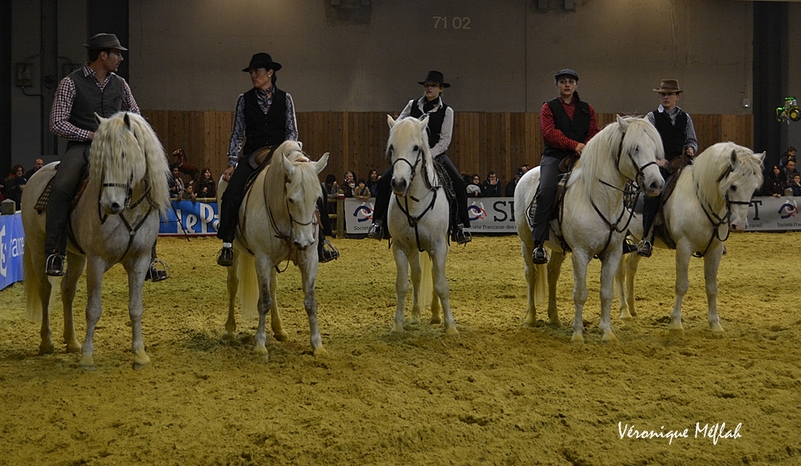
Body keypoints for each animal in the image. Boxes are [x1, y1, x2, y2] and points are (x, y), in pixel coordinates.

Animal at [21, 111, 171, 370]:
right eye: (101, 160)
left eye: (125, 156)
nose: (110, 204)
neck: (129, 210)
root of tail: (35, 176)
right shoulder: (96, 261)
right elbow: (93, 309)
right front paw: (88, 357)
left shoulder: (140, 261)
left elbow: (136, 308)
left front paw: (140, 354)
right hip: (39, 250)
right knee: (45, 290)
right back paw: (47, 343)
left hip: (75, 255)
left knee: (67, 290)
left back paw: (72, 342)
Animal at [219, 142, 328, 360]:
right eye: (292, 199)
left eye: (317, 198)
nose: (304, 241)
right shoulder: (262, 259)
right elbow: (264, 301)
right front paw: (260, 345)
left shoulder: (309, 259)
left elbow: (310, 302)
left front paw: (317, 345)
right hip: (236, 252)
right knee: (233, 284)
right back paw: (229, 330)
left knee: (273, 286)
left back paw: (279, 329)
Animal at [386, 115, 456, 334]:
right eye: (392, 147)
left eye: (416, 147)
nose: (399, 183)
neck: (416, 202)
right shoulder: (400, 246)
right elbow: (402, 284)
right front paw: (397, 325)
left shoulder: (439, 246)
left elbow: (441, 284)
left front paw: (450, 326)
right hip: (414, 248)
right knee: (417, 274)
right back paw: (416, 315)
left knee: (434, 275)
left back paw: (435, 315)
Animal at [516, 115, 664, 342]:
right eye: (635, 148)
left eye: (654, 147)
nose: (656, 184)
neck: (600, 199)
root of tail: (526, 175)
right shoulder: (580, 253)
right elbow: (580, 293)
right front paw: (577, 334)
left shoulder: (613, 253)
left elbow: (606, 293)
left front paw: (607, 332)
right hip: (527, 241)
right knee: (531, 274)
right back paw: (530, 318)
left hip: (558, 248)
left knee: (552, 274)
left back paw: (554, 317)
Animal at [616, 141, 764, 332]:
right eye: (733, 186)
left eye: (754, 188)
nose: (738, 225)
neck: (700, 200)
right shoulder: (684, 248)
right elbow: (681, 285)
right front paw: (676, 324)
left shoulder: (714, 251)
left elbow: (712, 287)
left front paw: (715, 325)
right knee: (619, 272)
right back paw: (624, 311)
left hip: (637, 238)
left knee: (631, 266)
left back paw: (632, 308)